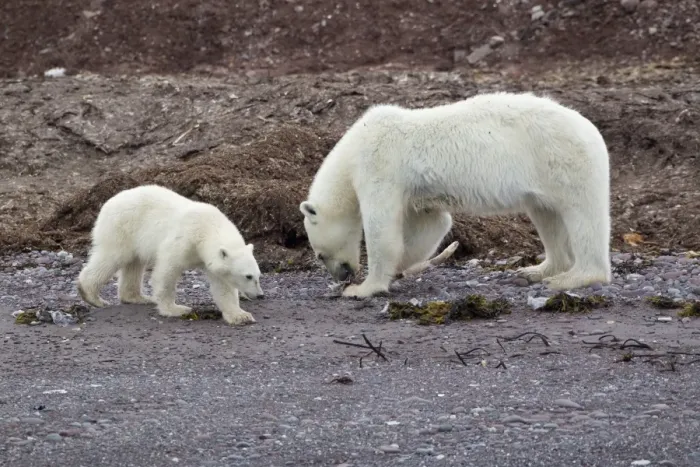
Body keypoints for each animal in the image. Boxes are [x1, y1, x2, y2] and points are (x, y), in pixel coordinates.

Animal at [77, 184, 265, 325]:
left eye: (258, 275)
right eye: (248, 276)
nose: (260, 295)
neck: (206, 228)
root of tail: (109, 202)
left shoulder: (212, 260)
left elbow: (223, 286)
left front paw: (241, 316)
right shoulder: (185, 239)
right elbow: (167, 271)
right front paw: (176, 309)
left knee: (134, 264)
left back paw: (138, 297)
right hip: (122, 228)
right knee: (112, 257)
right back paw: (92, 296)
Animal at [299, 91, 612, 299]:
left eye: (319, 254)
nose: (343, 275)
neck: (352, 148)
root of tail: (592, 130)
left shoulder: (379, 164)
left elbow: (381, 228)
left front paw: (363, 288)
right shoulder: (417, 193)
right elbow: (431, 223)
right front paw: (401, 267)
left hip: (563, 160)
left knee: (583, 217)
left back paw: (574, 278)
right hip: (544, 177)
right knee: (547, 216)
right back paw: (538, 270)